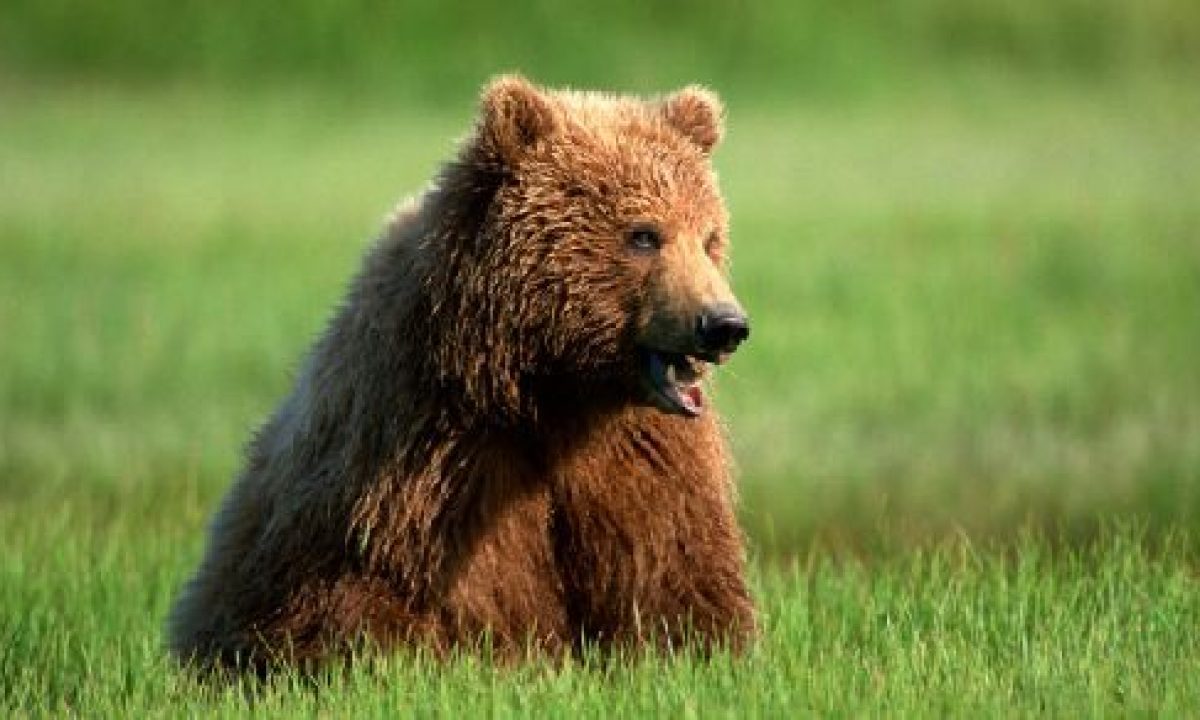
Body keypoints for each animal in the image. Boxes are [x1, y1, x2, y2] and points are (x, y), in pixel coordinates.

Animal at [166, 73, 748, 667]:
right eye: (644, 234)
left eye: (709, 238)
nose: (723, 324)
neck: (553, 385)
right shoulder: (434, 449)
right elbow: (440, 589)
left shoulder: (635, 451)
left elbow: (670, 569)